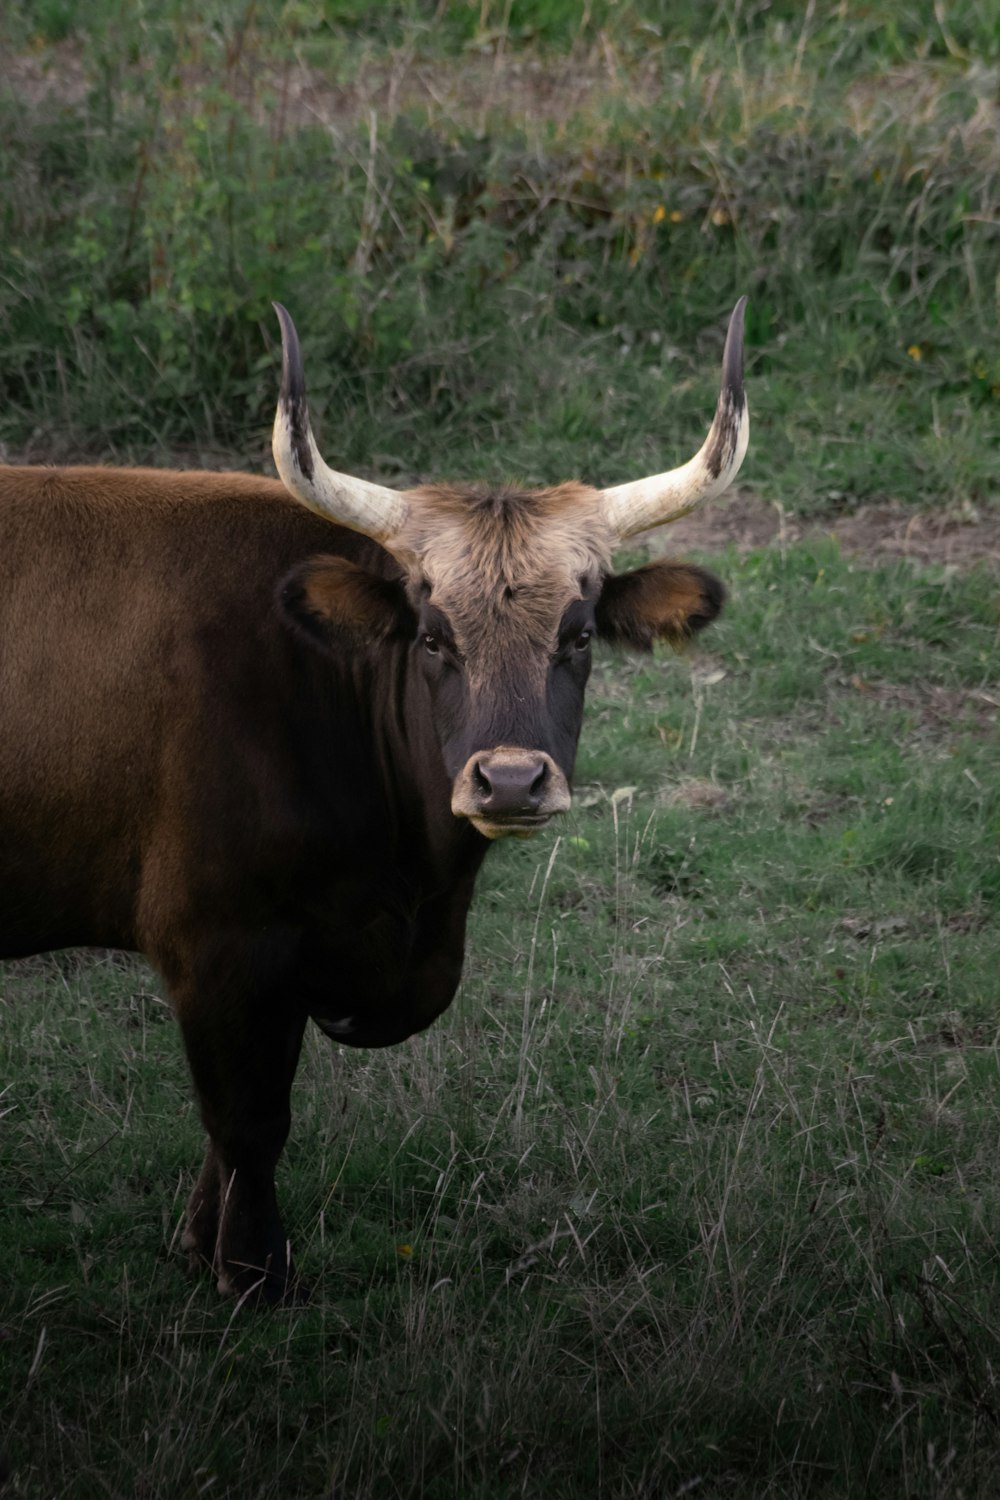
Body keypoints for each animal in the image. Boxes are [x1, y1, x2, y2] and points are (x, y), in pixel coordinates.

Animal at [0, 304, 749, 1302]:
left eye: (581, 634)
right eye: (432, 638)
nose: (511, 780)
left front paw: (202, 1245)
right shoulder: (216, 943)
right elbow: (249, 1121)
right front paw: (252, 1270)